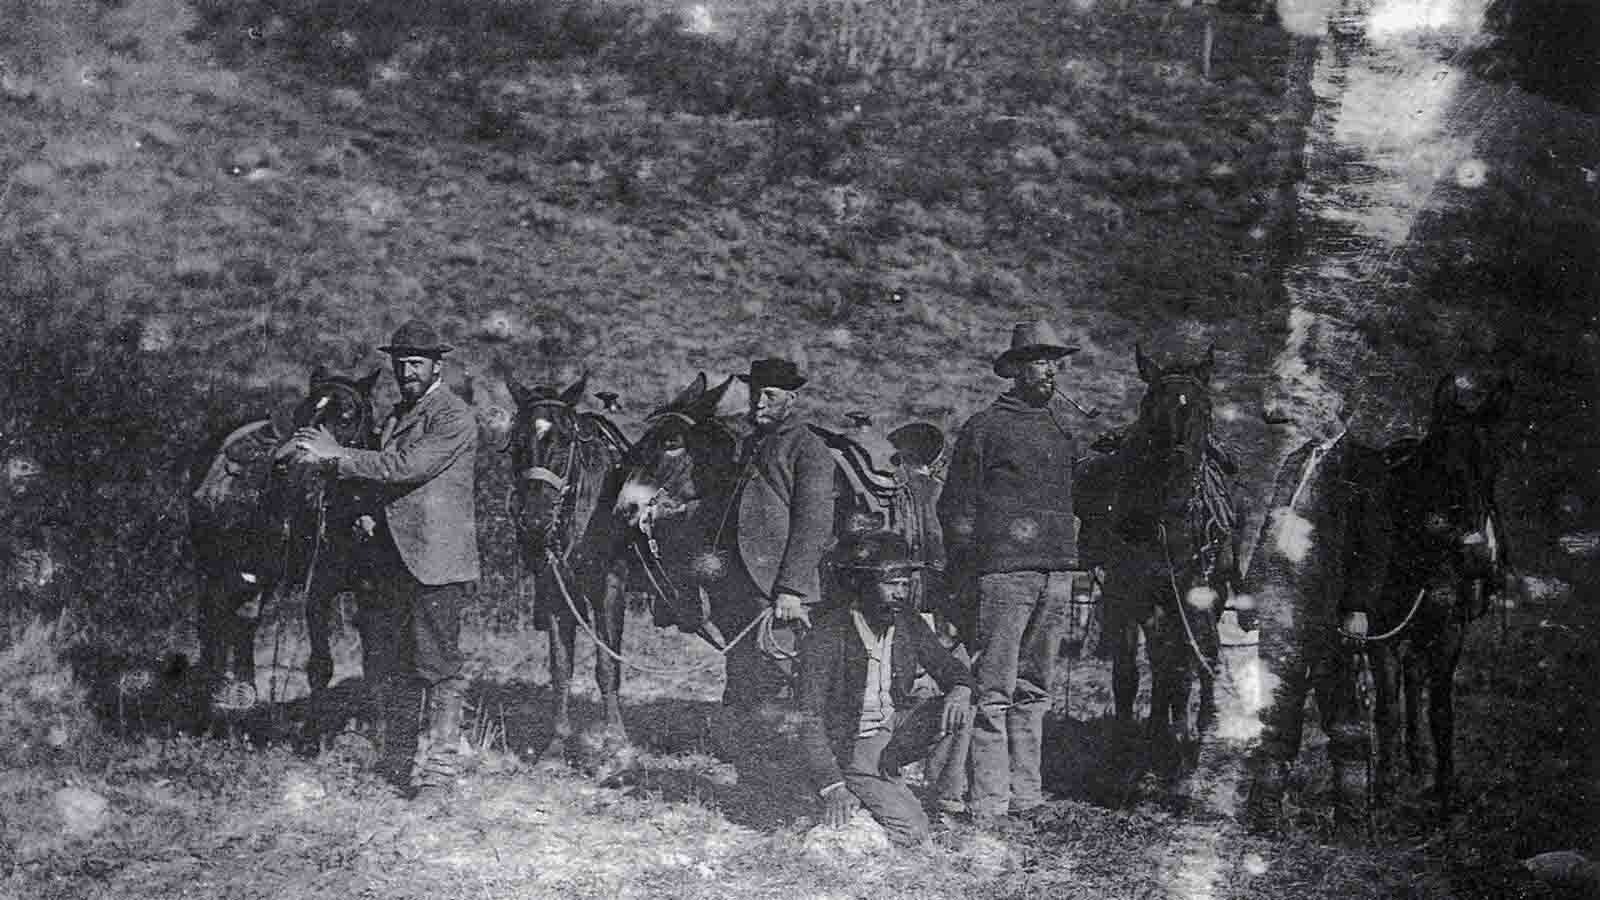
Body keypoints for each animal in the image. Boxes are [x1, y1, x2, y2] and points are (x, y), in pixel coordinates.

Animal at [499, 371, 630, 755]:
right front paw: (557, 744)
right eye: (517, 444)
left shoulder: (611, 587)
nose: (535, 521)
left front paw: (616, 739)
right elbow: (561, 667)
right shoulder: (555, 590)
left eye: (564, 440)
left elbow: (607, 664)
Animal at [1100, 344, 1235, 762]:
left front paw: (1181, 731)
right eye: (1150, 407)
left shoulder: (1191, 593)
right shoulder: (1126, 594)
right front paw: (1127, 739)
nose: (1176, 469)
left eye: (1205, 409)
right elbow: (1130, 670)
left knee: (1196, 653)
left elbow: (1186, 660)